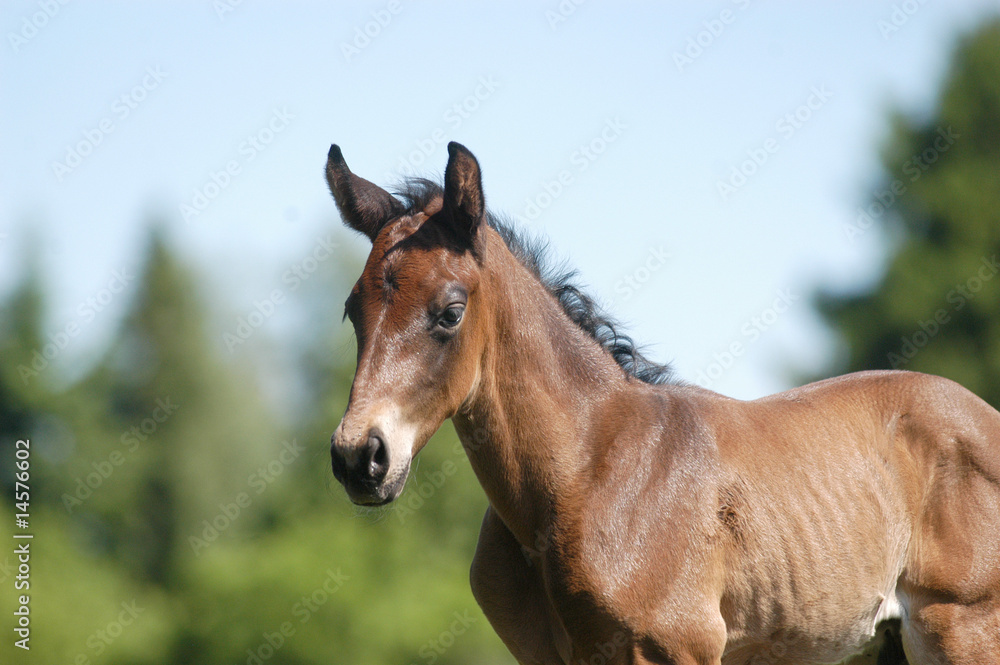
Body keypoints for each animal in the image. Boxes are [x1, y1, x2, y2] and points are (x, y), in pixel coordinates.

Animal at [326, 143, 1000, 660]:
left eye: (450, 311)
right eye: (353, 310)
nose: (360, 457)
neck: (583, 473)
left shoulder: (672, 647)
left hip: (962, 629)